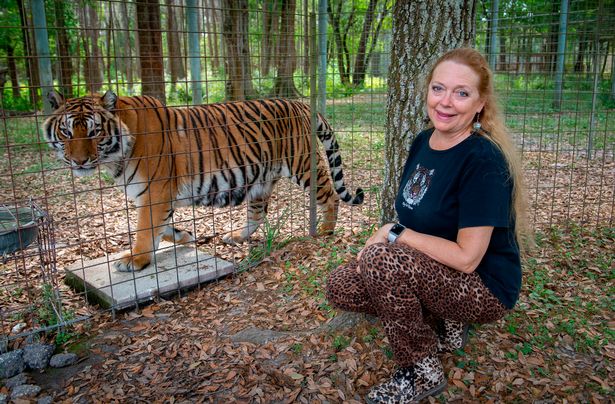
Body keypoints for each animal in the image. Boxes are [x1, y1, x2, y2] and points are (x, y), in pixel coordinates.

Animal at [43, 92, 364, 272]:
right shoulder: (153, 194)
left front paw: (135, 259)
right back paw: (236, 236)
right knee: (258, 213)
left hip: (303, 165)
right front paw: (185, 236)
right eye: (67, 132)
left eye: (94, 132)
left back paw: (325, 231)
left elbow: (146, 228)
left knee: (329, 195)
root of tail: (301, 105)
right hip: (261, 179)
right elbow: (162, 226)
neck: (116, 156)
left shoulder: (156, 190)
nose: (79, 161)